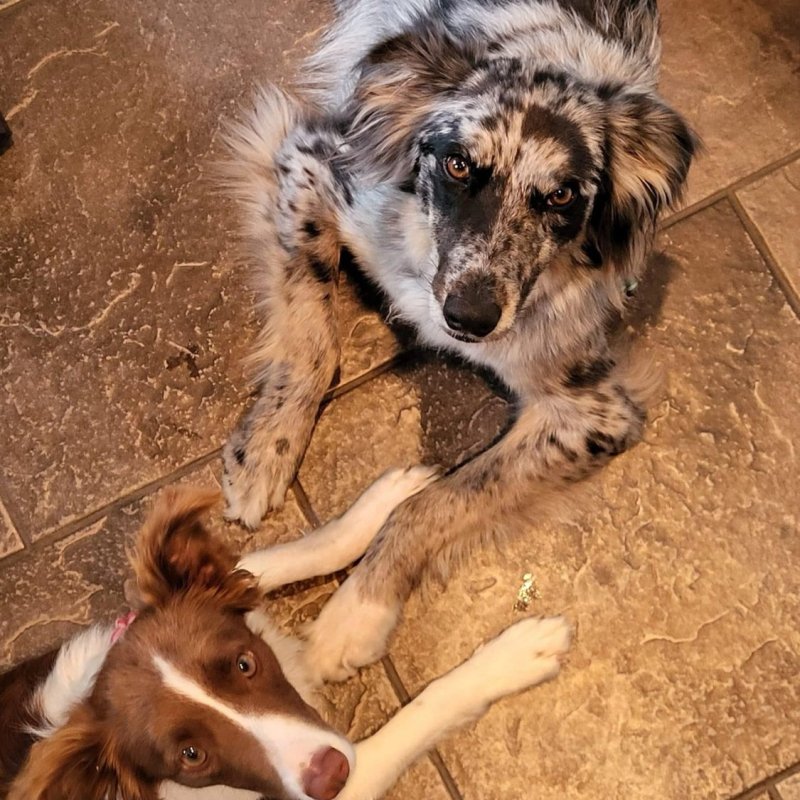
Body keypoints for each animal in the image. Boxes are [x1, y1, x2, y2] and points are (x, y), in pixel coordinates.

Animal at [1, 468, 571, 800]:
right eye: (191, 756)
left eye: (244, 663)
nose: (329, 775)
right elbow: (420, 711)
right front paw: (514, 656)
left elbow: (286, 556)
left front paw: (384, 503)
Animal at [220, 0, 696, 682]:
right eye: (457, 164)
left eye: (561, 195)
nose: (470, 318)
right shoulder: (312, 164)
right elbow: (313, 336)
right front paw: (265, 452)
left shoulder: (595, 411)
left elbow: (436, 502)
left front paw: (354, 612)